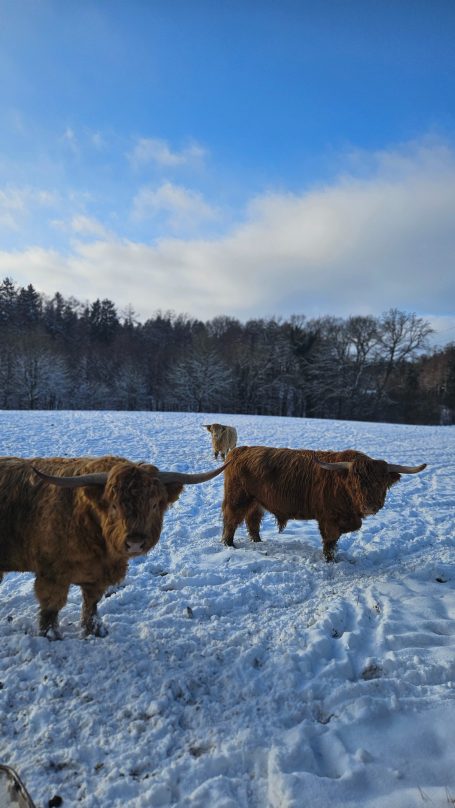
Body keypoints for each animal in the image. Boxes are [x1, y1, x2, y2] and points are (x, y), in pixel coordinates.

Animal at [0, 455, 227, 639]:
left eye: (154, 505)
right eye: (115, 505)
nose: (135, 542)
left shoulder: (97, 576)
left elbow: (91, 604)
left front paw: (95, 630)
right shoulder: (52, 575)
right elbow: (51, 607)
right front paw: (50, 635)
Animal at [221, 446, 426, 561]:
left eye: (381, 483)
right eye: (356, 483)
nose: (370, 506)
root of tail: (240, 450)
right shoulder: (328, 518)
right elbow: (330, 540)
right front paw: (330, 560)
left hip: (256, 501)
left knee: (252, 521)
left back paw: (258, 541)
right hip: (238, 498)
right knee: (231, 521)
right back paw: (230, 545)